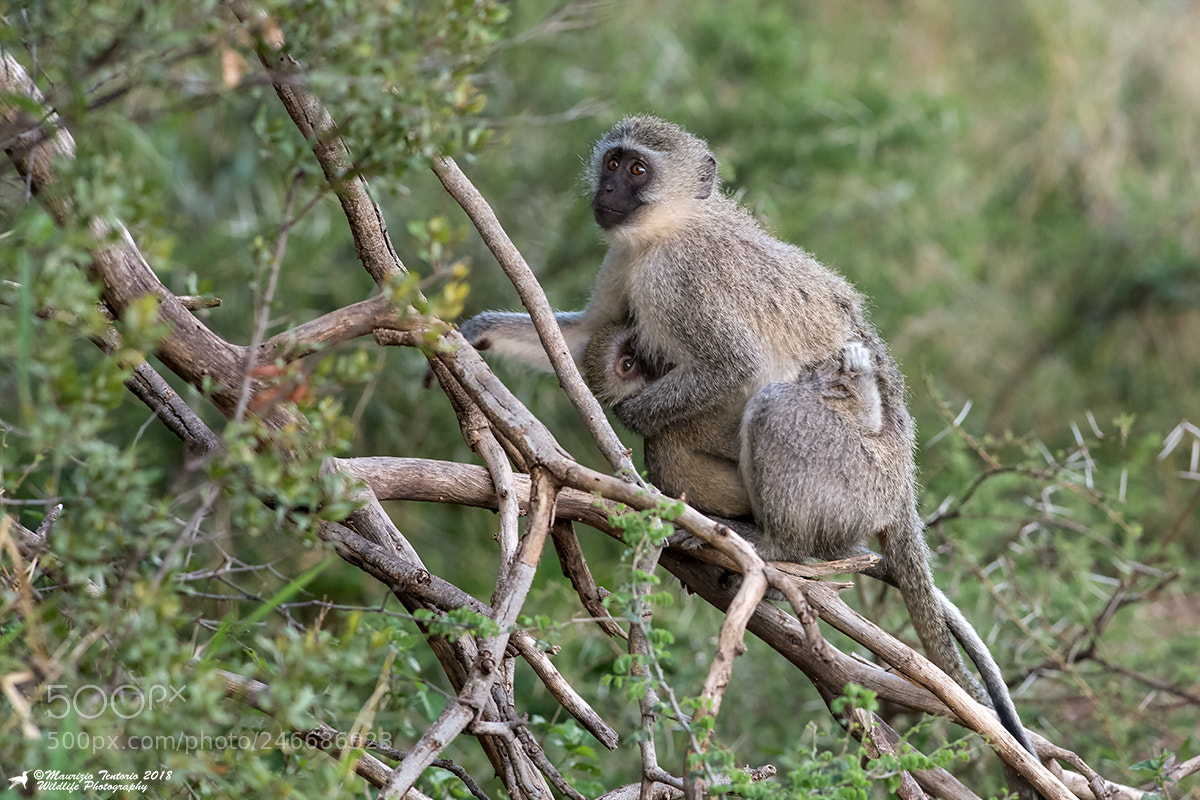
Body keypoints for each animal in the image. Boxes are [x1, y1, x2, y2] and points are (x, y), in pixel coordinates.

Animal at [459, 115, 1036, 758]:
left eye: (637, 169)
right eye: (610, 163)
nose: (607, 191)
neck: (669, 230)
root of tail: (900, 487)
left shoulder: (680, 281)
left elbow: (731, 368)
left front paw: (627, 425)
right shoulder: (624, 260)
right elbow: (584, 336)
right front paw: (474, 334)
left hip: (852, 471)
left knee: (771, 409)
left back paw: (775, 545)